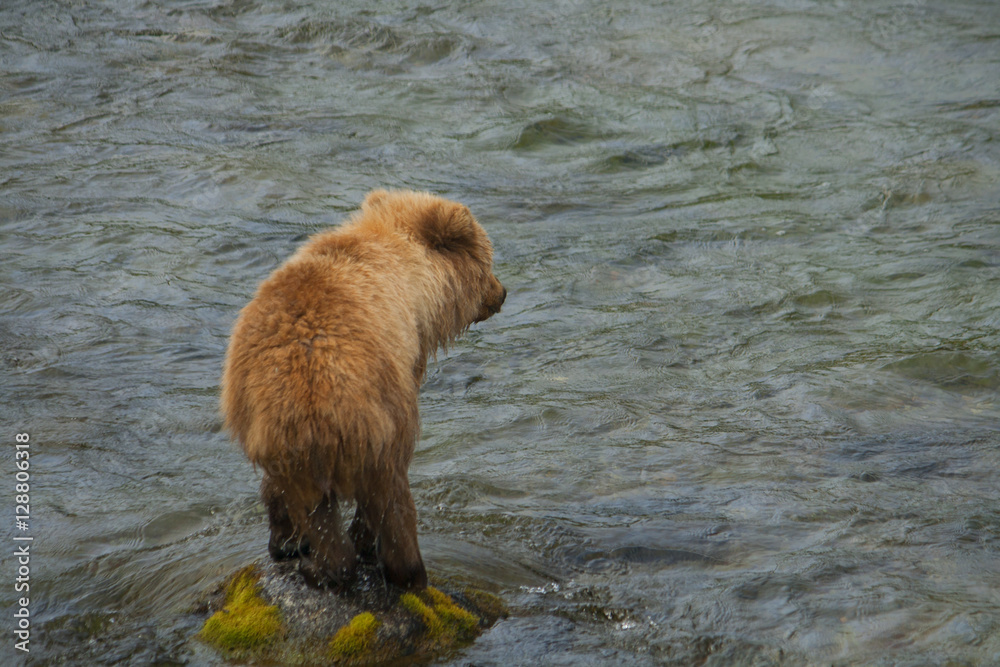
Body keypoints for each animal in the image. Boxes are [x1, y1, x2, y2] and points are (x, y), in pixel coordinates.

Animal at [220, 189, 506, 591]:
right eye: (487, 259)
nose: (502, 292)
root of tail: (311, 395)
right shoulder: (408, 357)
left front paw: (289, 543)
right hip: (377, 417)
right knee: (390, 494)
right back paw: (398, 569)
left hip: (278, 432)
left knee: (308, 503)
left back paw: (309, 557)